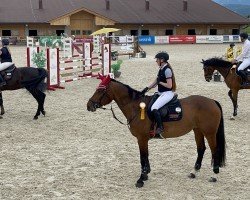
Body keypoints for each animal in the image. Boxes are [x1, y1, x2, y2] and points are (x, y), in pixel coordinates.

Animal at [87, 74, 226, 188]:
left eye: (100, 90)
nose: (89, 105)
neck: (136, 107)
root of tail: (212, 101)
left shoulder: (141, 138)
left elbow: (142, 157)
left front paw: (141, 179)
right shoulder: (143, 139)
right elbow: (145, 156)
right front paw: (146, 174)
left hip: (209, 133)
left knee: (215, 150)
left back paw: (214, 175)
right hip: (198, 131)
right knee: (201, 149)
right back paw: (194, 172)